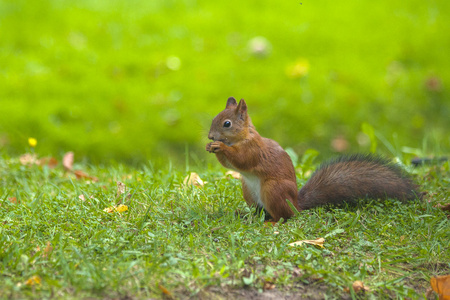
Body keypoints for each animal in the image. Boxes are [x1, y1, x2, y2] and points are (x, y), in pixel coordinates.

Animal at [206, 97, 420, 221]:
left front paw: (220, 147)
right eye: (214, 118)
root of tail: (296, 203)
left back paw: (272, 221)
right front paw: (212, 147)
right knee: (261, 211)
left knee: (285, 216)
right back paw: (245, 214)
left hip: (273, 189)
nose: (210, 137)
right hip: (248, 190)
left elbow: (241, 160)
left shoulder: (254, 150)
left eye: (227, 124)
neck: (244, 136)